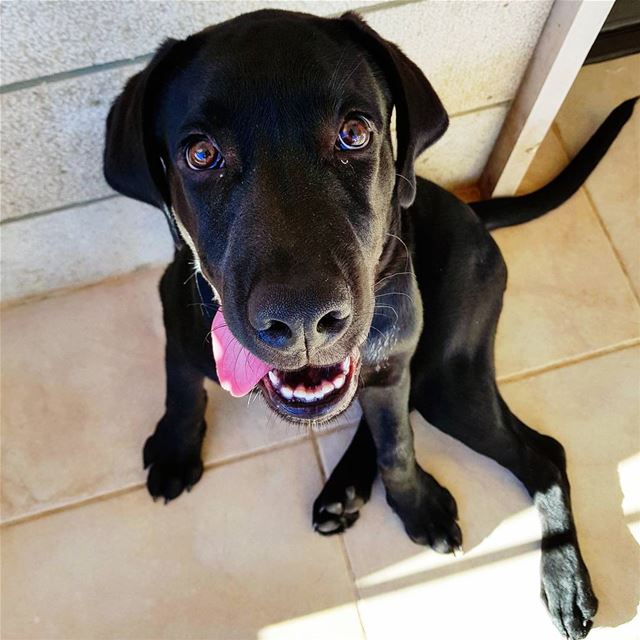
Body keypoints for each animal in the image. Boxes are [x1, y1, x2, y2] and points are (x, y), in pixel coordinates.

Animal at [104, 11, 636, 640]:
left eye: (355, 133)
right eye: (202, 154)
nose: (303, 320)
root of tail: (473, 212)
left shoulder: (395, 362)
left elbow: (398, 446)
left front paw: (416, 504)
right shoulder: (176, 310)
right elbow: (182, 384)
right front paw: (175, 447)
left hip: (444, 375)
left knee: (543, 451)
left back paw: (563, 576)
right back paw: (344, 489)